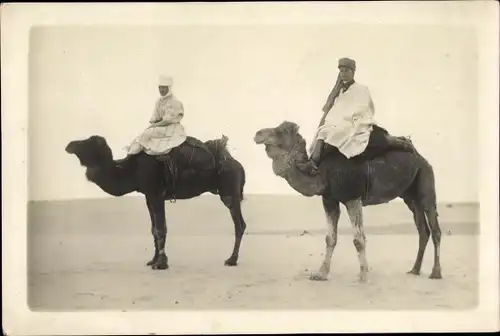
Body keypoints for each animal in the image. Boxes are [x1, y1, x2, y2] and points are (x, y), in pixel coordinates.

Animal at [66, 135, 246, 270]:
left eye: (86, 142)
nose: (69, 145)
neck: (130, 170)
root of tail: (238, 165)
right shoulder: (148, 196)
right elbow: (153, 229)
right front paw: (152, 260)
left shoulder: (156, 194)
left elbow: (160, 228)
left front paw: (161, 264)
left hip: (229, 192)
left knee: (239, 224)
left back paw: (232, 259)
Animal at [254, 122, 442, 282]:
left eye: (281, 131)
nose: (258, 133)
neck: (320, 174)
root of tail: (423, 160)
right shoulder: (329, 199)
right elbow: (330, 238)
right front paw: (321, 274)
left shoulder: (353, 197)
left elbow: (358, 239)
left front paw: (363, 276)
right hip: (409, 195)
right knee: (422, 229)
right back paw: (414, 270)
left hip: (425, 180)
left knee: (434, 226)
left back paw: (435, 273)